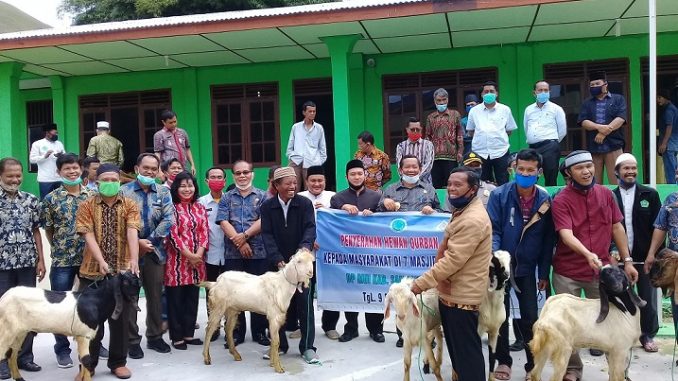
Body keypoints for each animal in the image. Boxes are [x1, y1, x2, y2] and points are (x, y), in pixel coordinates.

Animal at [0, 270, 141, 380]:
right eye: (126, 282)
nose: (139, 283)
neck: (97, 302)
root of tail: (4, 297)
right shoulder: (84, 335)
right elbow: (87, 361)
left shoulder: (81, 336)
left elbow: (83, 360)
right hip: (7, 331)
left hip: (20, 332)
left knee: (12, 355)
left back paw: (19, 378)